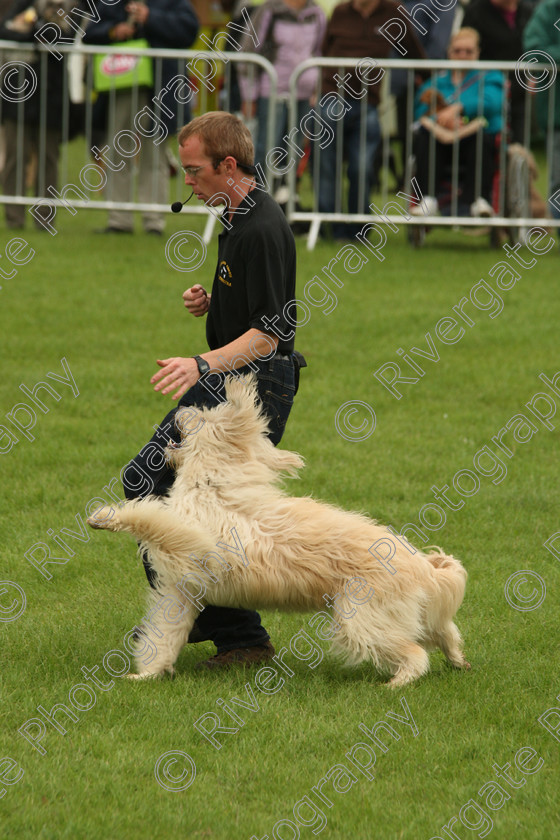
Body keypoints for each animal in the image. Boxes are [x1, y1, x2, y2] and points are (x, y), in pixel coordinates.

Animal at [87, 378, 470, 684]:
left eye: (207, 415)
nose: (181, 408)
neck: (212, 486)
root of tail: (423, 567)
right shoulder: (181, 591)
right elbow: (164, 637)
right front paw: (145, 676)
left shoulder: (190, 538)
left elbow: (149, 517)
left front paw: (103, 517)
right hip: (406, 613)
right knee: (444, 631)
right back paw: (458, 661)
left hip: (364, 620)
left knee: (415, 654)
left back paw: (397, 684)